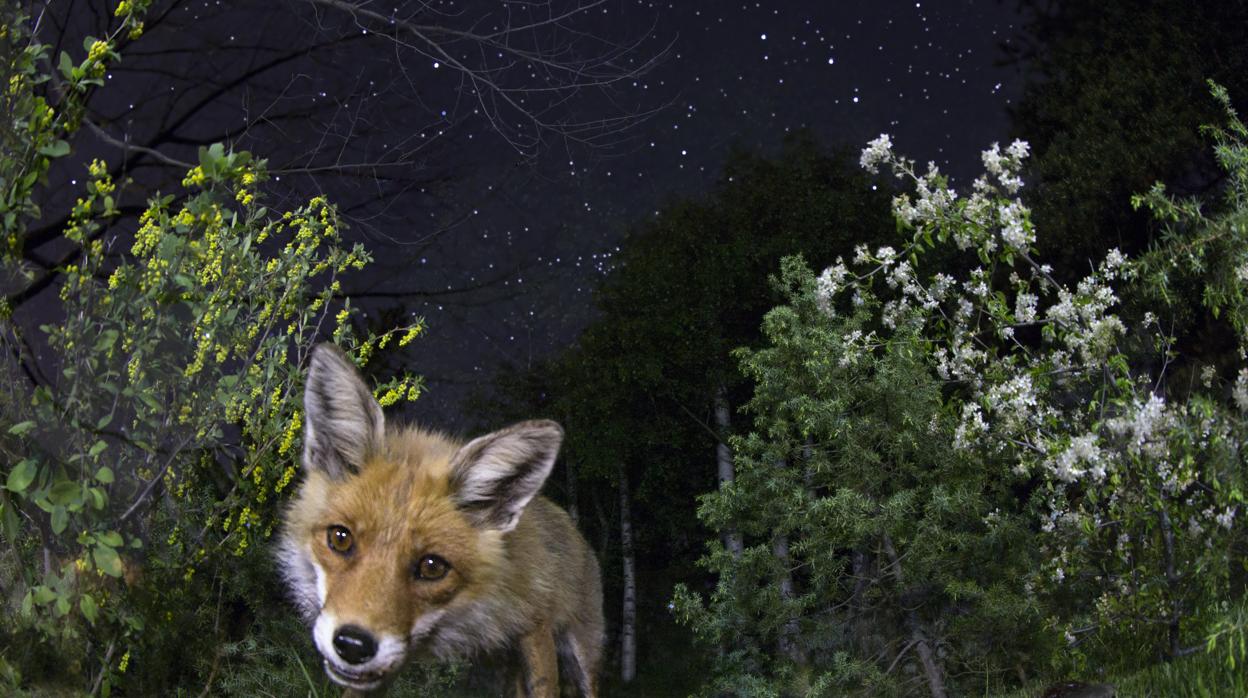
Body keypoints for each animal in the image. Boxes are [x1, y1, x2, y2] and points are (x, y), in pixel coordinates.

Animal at [277, 347, 604, 694]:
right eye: (340, 538)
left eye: (432, 566)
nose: (353, 645)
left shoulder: (536, 624)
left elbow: (545, 687)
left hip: (581, 655)